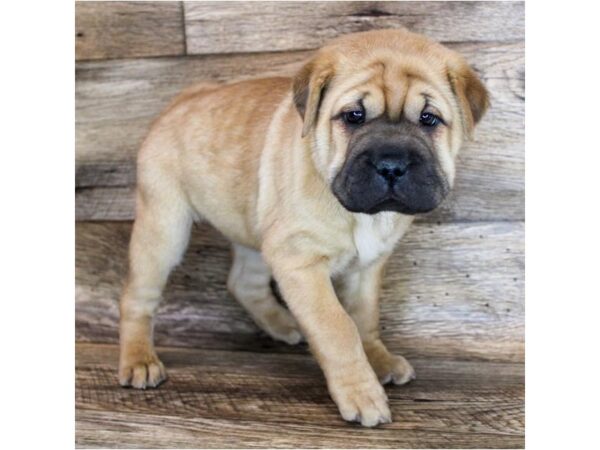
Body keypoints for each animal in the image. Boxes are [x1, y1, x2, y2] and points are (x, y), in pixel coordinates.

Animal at [117, 28, 488, 426]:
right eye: (353, 116)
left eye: (429, 119)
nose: (391, 165)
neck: (364, 215)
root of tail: (181, 100)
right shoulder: (300, 262)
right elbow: (337, 327)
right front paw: (361, 393)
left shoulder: (366, 266)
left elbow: (365, 316)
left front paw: (379, 359)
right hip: (164, 228)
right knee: (137, 296)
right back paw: (138, 359)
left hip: (257, 232)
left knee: (243, 283)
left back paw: (284, 324)